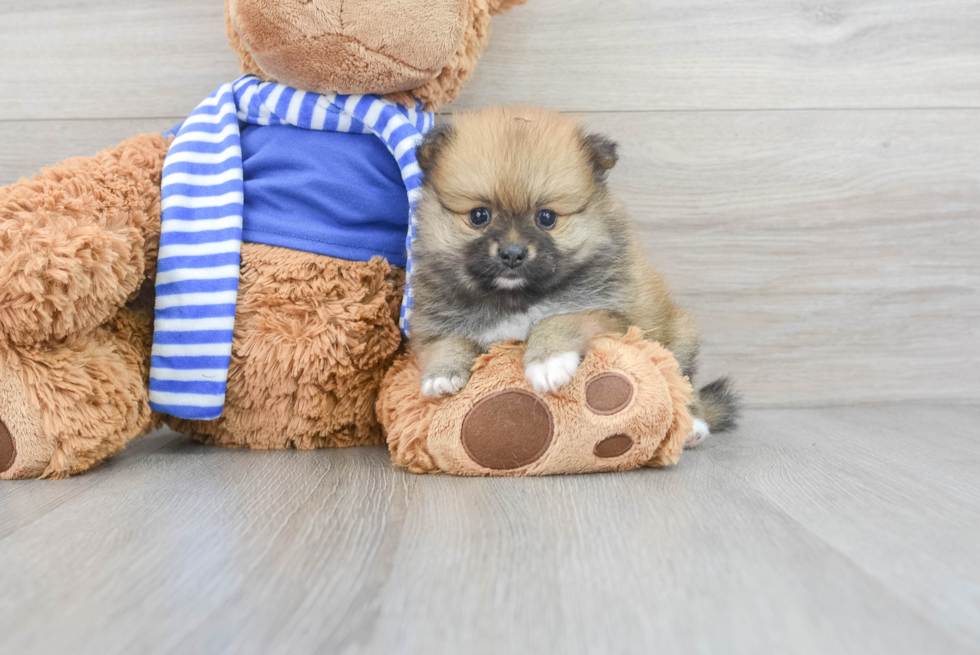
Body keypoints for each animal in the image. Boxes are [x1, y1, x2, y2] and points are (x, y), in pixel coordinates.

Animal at [406, 106, 736, 446]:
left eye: (546, 217)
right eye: (479, 215)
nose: (512, 253)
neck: (515, 298)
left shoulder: (604, 313)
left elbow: (559, 319)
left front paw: (547, 362)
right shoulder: (434, 325)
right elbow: (448, 341)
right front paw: (442, 373)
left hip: (680, 338)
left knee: (684, 385)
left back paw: (693, 426)